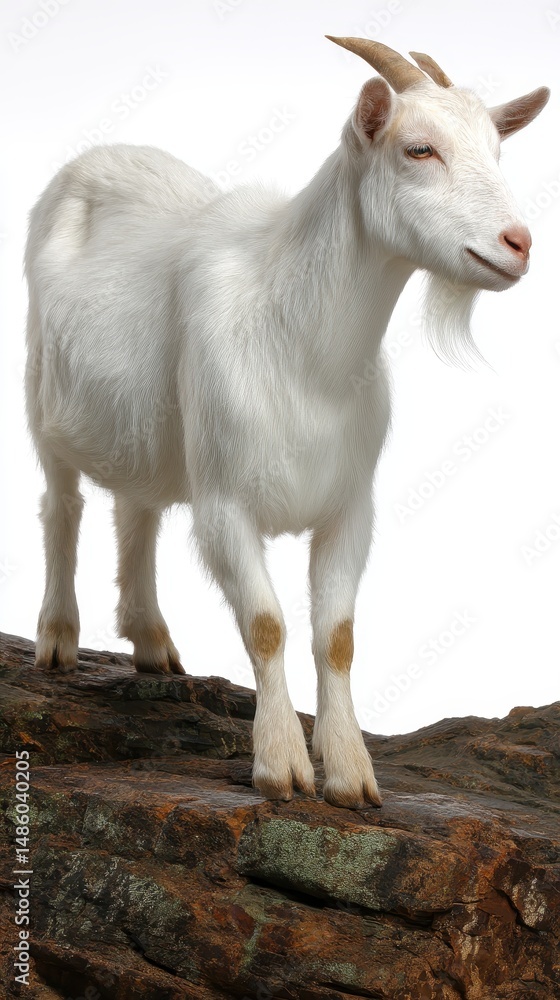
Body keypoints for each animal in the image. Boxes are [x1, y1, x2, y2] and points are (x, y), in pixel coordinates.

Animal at [25, 39, 549, 808]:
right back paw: (58, 637)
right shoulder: (224, 505)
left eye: (496, 149)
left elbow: (337, 637)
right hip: (40, 395)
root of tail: (96, 156)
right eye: (419, 148)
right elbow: (267, 626)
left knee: (136, 509)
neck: (303, 351)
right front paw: (281, 766)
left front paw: (350, 772)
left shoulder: (349, 508)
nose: (518, 243)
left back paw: (151, 642)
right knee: (61, 506)